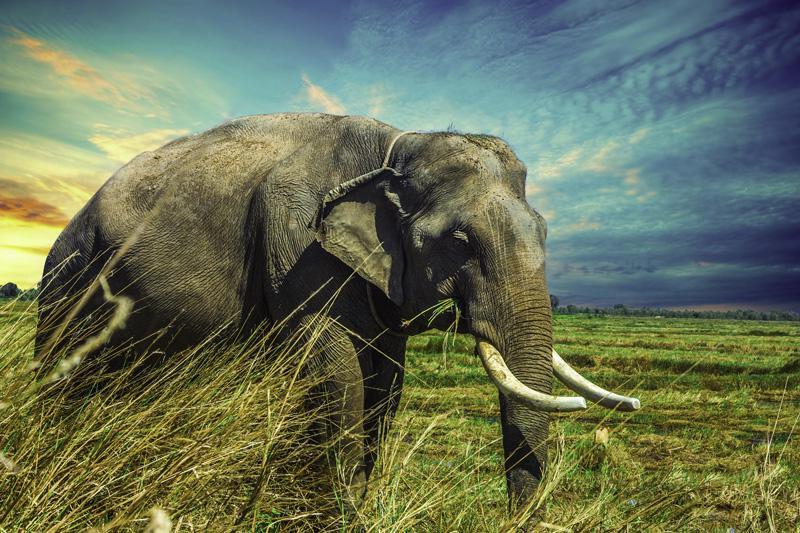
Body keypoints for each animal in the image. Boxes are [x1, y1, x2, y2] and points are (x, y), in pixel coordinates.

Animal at [34, 112, 639, 513]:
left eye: (545, 232)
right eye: (460, 241)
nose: (514, 519)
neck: (397, 144)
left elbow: (386, 382)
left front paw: (357, 505)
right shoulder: (296, 240)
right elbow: (337, 369)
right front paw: (339, 511)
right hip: (66, 278)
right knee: (64, 373)